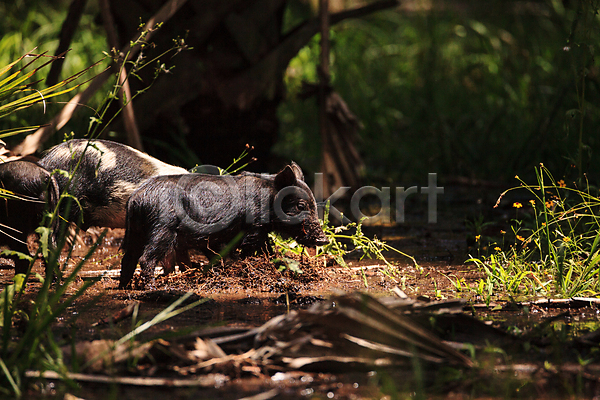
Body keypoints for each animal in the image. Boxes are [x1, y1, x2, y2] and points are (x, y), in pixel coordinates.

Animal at [119, 162, 330, 288]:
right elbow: (253, 249)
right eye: (301, 206)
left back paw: (124, 288)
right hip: (162, 228)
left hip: (136, 231)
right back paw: (151, 288)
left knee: (128, 258)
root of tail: (136, 199)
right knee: (146, 258)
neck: (268, 200)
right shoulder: (253, 229)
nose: (323, 239)